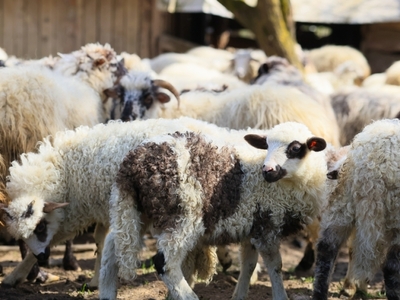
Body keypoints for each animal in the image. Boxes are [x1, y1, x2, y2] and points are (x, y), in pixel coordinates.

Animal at [0, 117, 247, 288]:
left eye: (40, 226)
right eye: (21, 236)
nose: (43, 258)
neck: (63, 170)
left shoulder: (83, 210)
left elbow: (91, 240)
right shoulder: (90, 210)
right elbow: (96, 240)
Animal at [100, 121, 328, 300]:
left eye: (295, 148)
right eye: (267, 145)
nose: (268, 170)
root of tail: (132, 164)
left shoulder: (253, 226)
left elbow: (249, 265)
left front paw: (239, 296)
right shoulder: (268, 225)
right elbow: (275, 267)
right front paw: (281, 296)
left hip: (134, 210)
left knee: (112, 248)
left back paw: (107, 293)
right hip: (183, 214)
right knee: (165, 262)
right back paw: (189, 296)